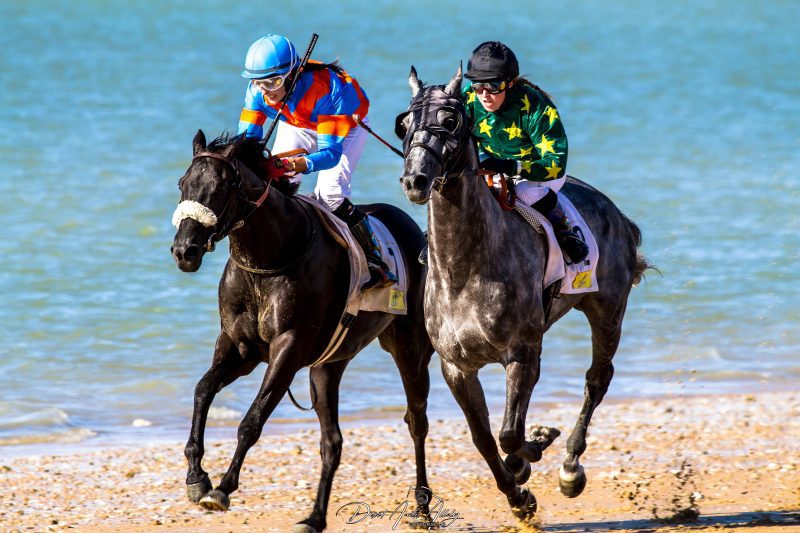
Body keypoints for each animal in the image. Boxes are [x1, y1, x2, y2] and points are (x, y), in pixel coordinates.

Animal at [170, 130, 434, 532]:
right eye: (183, 184)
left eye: (220, 187)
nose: (184, 251)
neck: (269, 258)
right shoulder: (239, 347)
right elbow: (203, 389)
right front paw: (196, 477)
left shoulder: (288, 348)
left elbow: (253, 420)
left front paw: (223, 488)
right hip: (328, 366)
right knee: (332, 442)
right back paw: (314, 518)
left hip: (410, 347)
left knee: (417, 421)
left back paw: (422, 507)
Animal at [396, 67, 650, 519]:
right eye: (405, 123)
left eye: (450, 121)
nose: (415, 180)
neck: (465, 271)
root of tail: (618, 214)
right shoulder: (456, 367)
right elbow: (484, 438)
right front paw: (517, 494)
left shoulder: (521, 350)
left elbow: (510, 433)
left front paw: (534, 451)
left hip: (607, 309)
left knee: (597, 379)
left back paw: (570, 466)